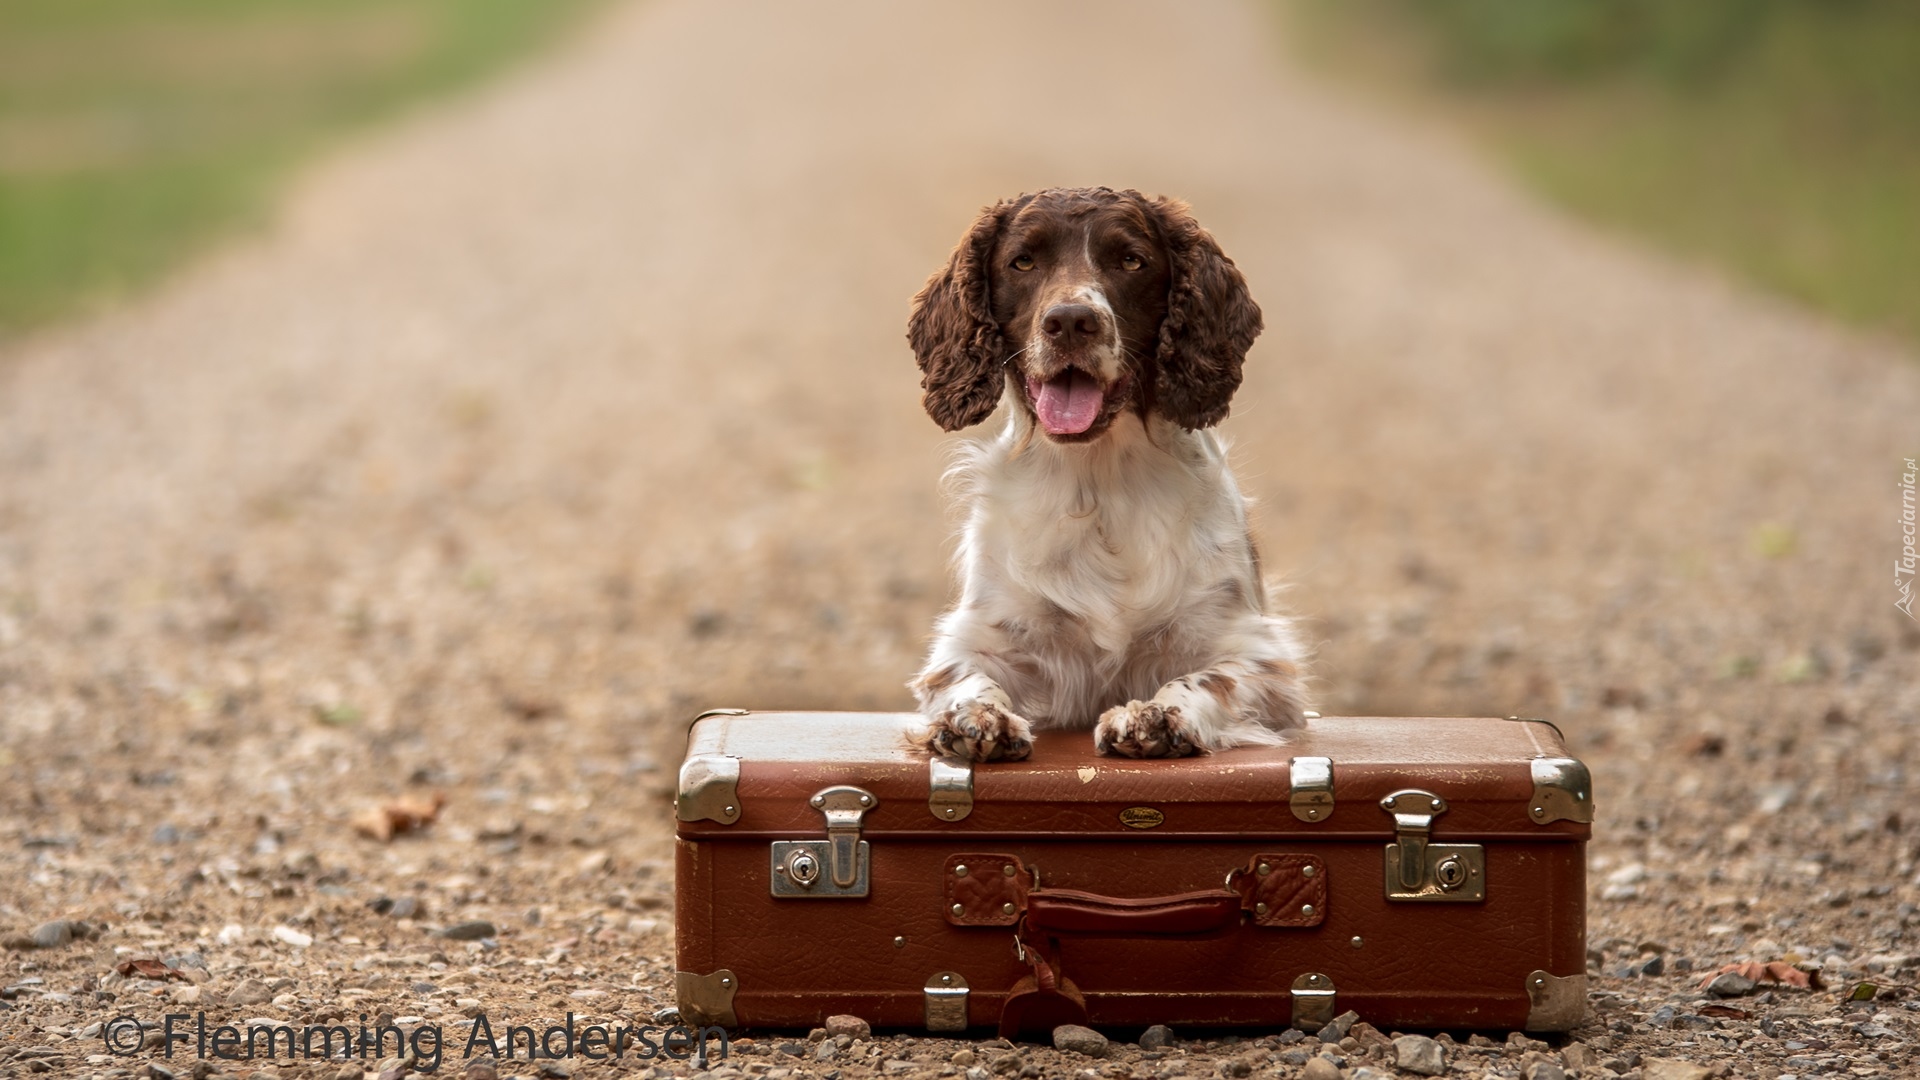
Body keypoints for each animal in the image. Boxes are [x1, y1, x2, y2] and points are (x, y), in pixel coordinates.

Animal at [906, 187, 1313, 757]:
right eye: (1022, 261)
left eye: (1131, 261)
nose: (1071, 321)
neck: (1097, 483)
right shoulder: (976, 639)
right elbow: (968, 678)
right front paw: (977, 719)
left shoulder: (1260, 657)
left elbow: (1205, 678)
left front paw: (1156, 715)